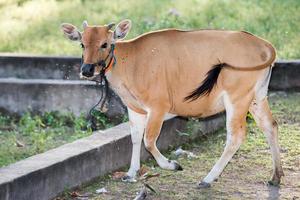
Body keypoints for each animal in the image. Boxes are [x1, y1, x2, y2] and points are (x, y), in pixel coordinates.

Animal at [61, 19, 284, 188]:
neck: (132, 60)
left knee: (235, 136)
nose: (87, 70)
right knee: (270, 126)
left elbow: (149, 141)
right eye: (82, 44)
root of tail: (264, 44)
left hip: (237, 99)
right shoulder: (135, 109)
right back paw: (276, 175)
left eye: (105, 44)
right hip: (256, 97)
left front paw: (172, 164)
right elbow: (135, 138)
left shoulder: (158, 107)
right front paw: (131, 172)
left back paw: (208, 178)